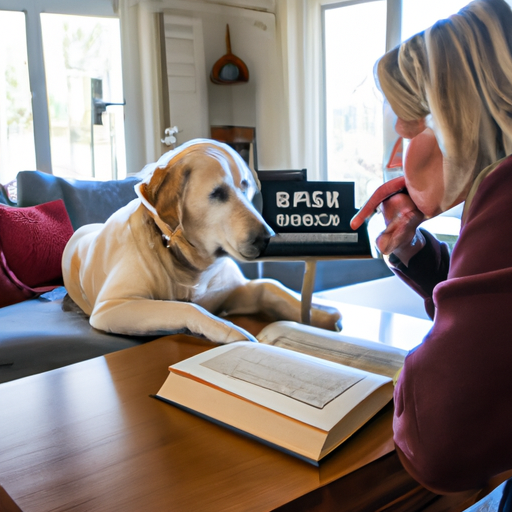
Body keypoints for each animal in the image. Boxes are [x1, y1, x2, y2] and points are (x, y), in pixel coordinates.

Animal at [62, 138, 342, 342]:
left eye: (245, 189)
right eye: (217, 193)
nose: (267, 239)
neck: (191, 268)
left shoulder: (235, 290)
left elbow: (271, 286)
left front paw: (322, 314)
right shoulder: (112, 307)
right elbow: (186, 307)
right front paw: (232, 331)